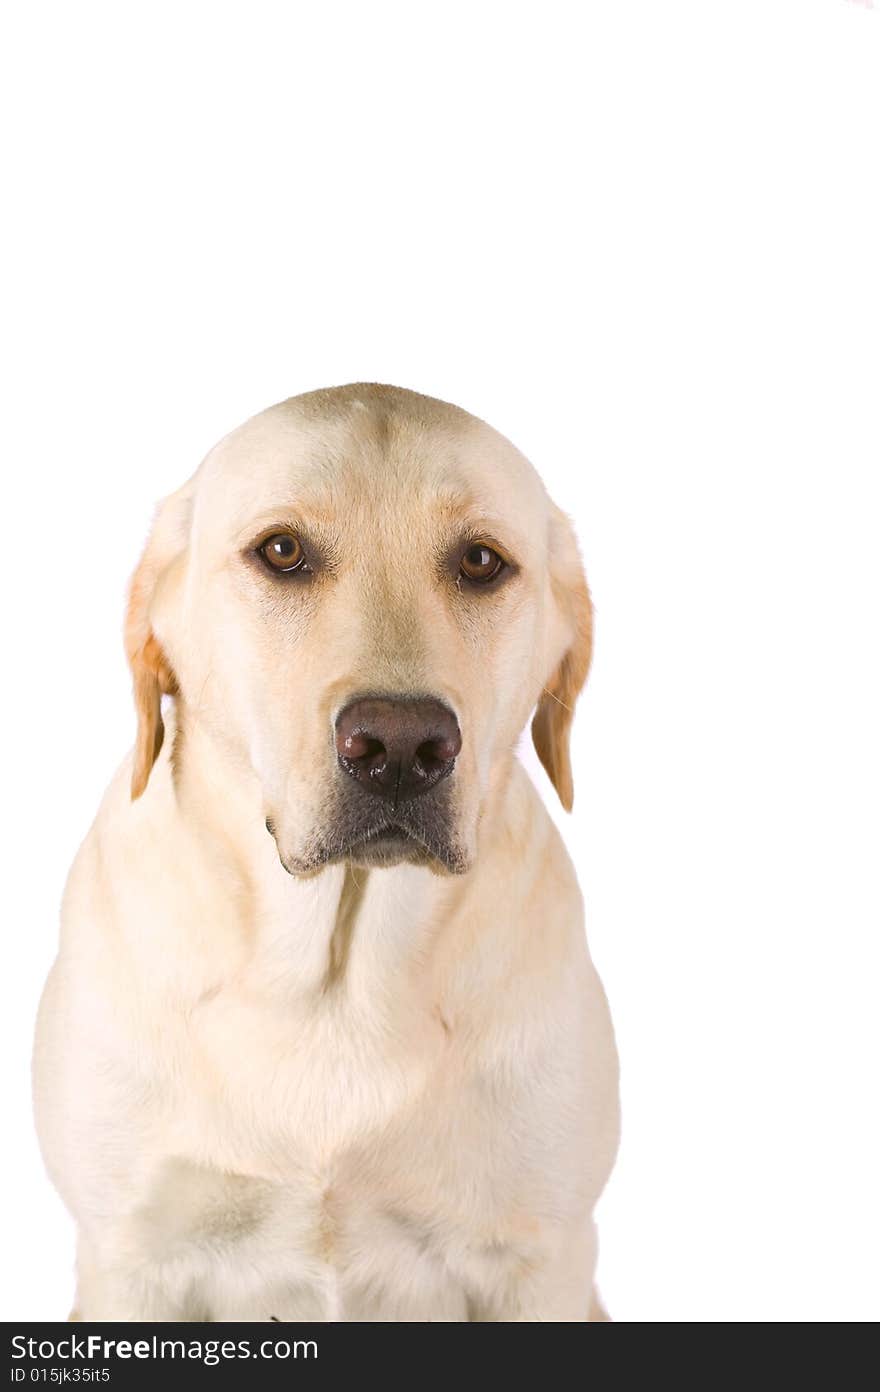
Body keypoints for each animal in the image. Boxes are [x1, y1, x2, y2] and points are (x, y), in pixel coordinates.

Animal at [34, 386, 618, 1319]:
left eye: (481, 562)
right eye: (282, 552)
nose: (401, 746)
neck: (336, 977)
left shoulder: (540, 1263)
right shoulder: (134, 1260)